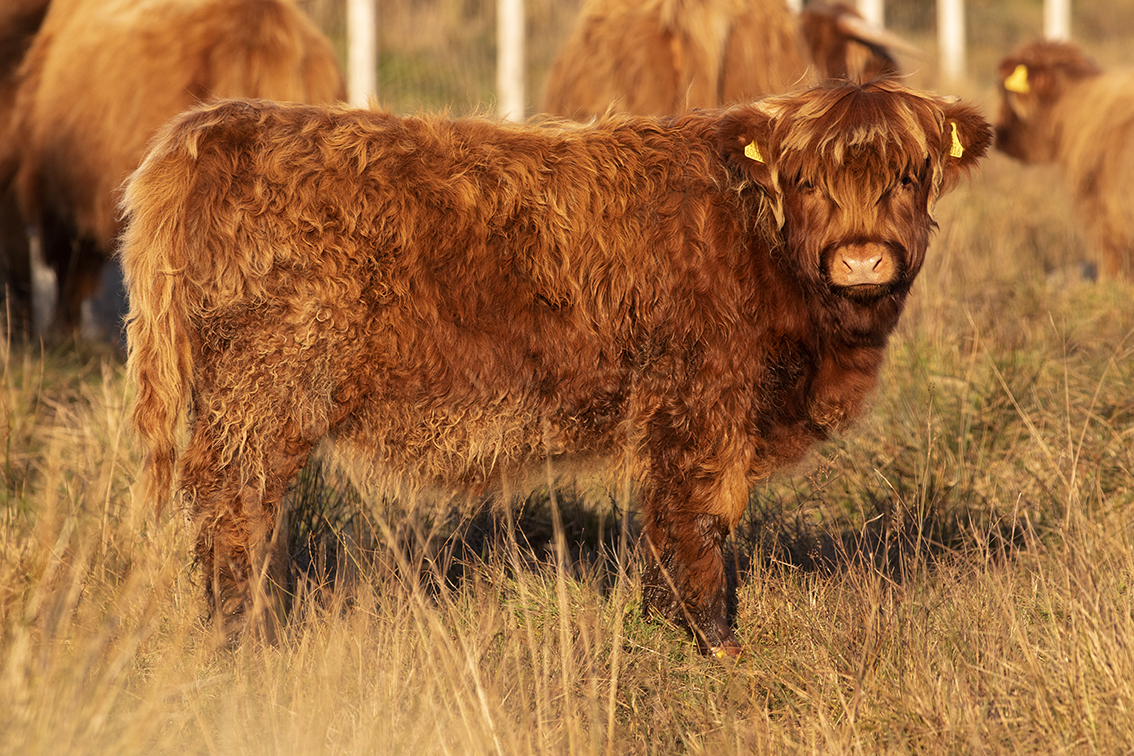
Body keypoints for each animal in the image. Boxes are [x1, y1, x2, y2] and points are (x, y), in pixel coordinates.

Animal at [124, 78, 988, 657]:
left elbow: (664, 524)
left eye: (908, 176)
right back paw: (240, 637)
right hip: (264, 389)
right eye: (806, 180)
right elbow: (697, 517)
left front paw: (665, 628)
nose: (862, 258)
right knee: (234, 504)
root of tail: (217, 126)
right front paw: (715, 644)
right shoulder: (698, 402)